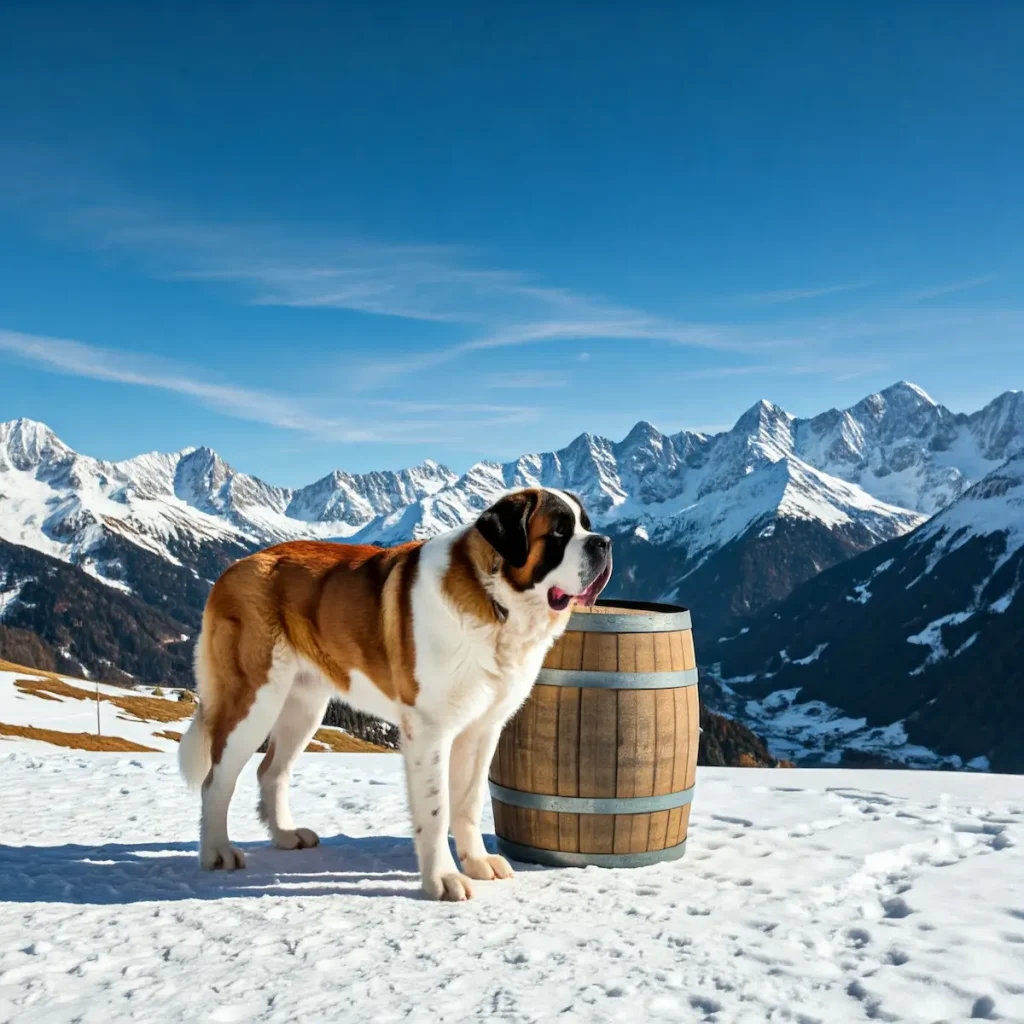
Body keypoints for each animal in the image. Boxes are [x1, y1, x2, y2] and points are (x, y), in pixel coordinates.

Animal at [179, 491, 610, 901]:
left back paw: (286, 835)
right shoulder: (430, 729)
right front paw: (443, 880)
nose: (604, 542)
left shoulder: (483, 729)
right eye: (558, 532)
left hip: (303, 707)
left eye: (587, 525)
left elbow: (469, 801)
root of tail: (236, 566)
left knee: (272, 771)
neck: (496, 603)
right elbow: (436, 810)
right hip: (254, 699)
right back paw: (218, 852)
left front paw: (477, 863)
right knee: (216, 779)